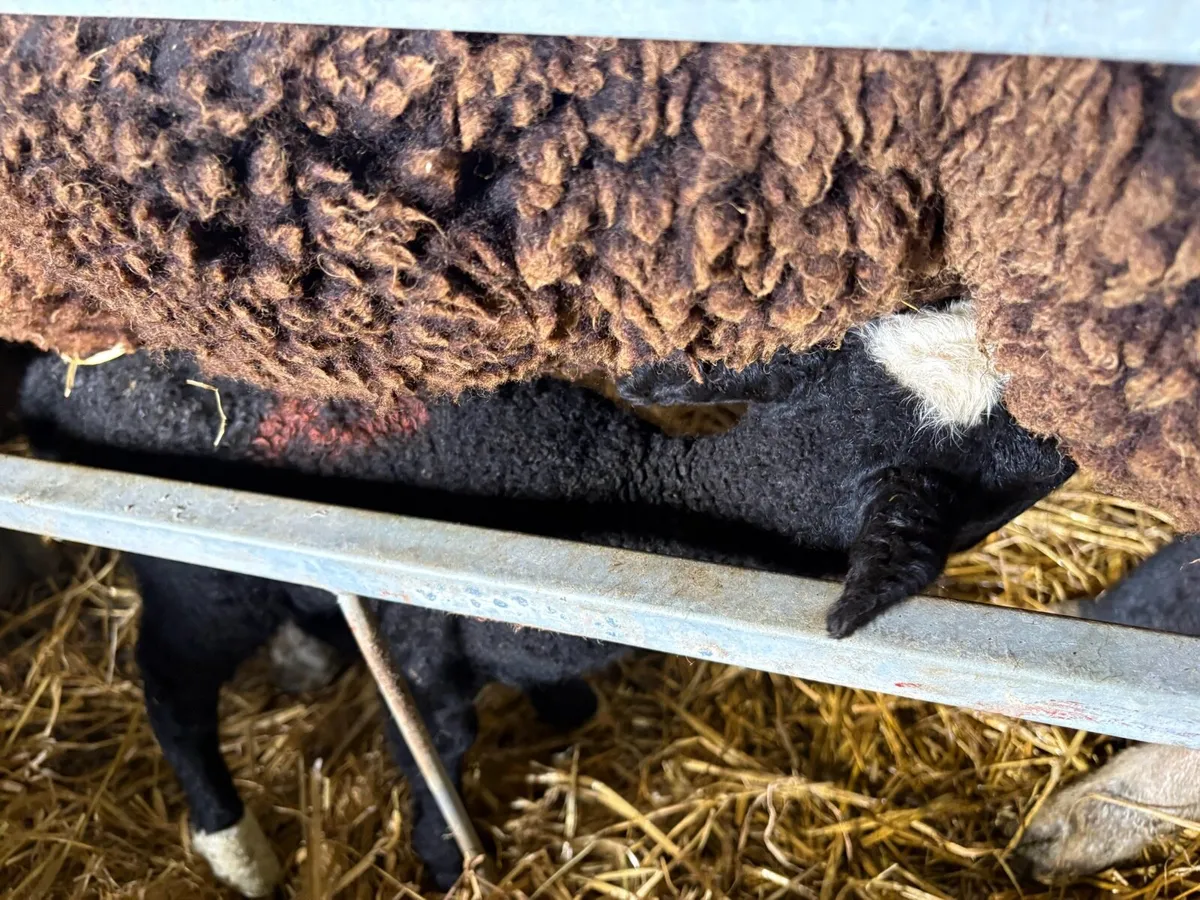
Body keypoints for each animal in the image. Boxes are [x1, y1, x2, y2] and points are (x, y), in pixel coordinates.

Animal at [15, 301, 1074, 894]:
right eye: (1026, 443)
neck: (630, 494)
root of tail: (60, 371)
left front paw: (565, 704)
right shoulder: (424, 634)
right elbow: (436, 744)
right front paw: (446, 861)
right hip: (199, 573)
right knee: (169, 686)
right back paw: (235, 846)